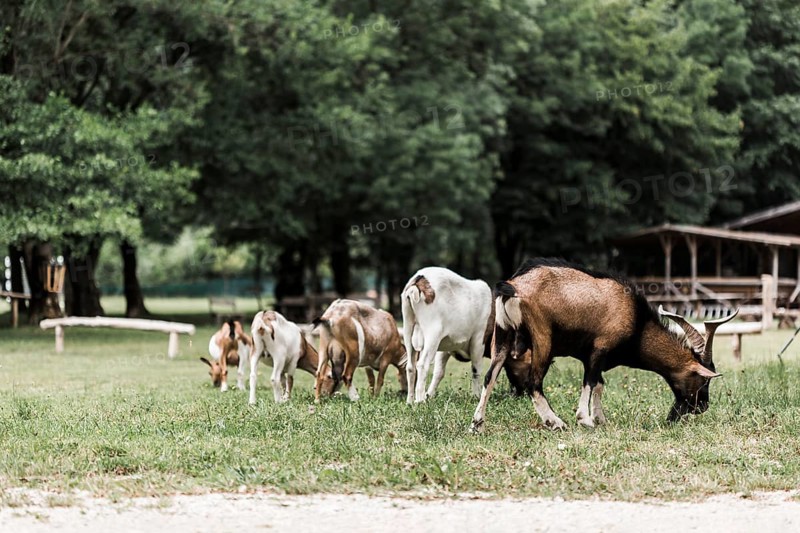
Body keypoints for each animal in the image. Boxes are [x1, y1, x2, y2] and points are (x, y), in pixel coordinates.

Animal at [470, 258, 737, 432]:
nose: (702, 406)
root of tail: (514, 286)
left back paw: (477, 424)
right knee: (533, 383)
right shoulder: (600, 348)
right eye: (704, 380)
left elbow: (599, 383)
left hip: (502, 334)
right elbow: (590, 381)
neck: (637, 323)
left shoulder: (597, 356)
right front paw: (585, 419)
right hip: (542, 336)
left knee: (490, 376)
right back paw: (555, 422)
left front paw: (600, 419)